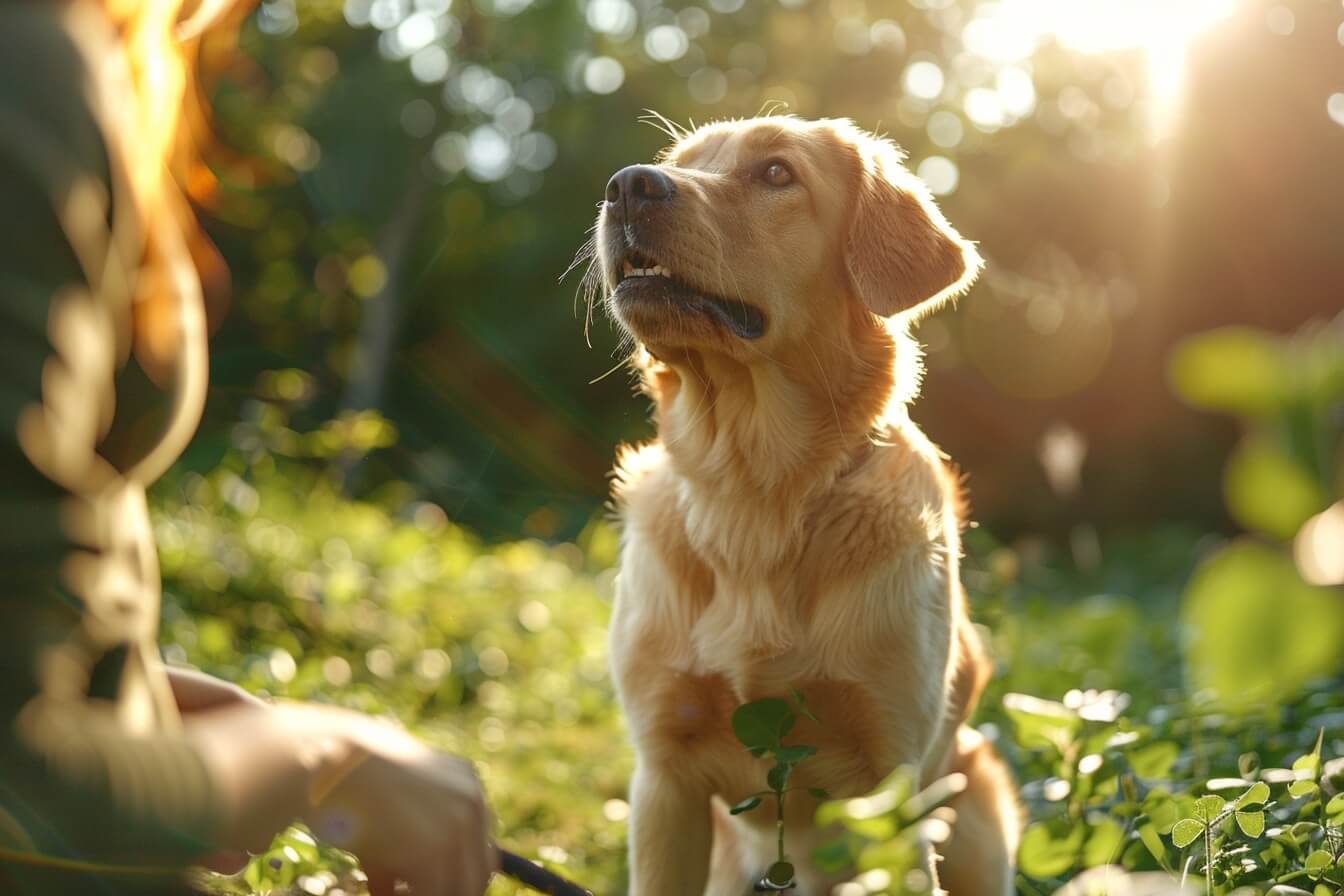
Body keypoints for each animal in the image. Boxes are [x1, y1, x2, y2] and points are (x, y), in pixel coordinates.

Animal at [588, 118, 1016, 896]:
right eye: (677, 163)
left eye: (776, 174)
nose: (627, 185)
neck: (755, 493)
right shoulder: (664, 780)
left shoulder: (890, 783)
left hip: (976, 812)